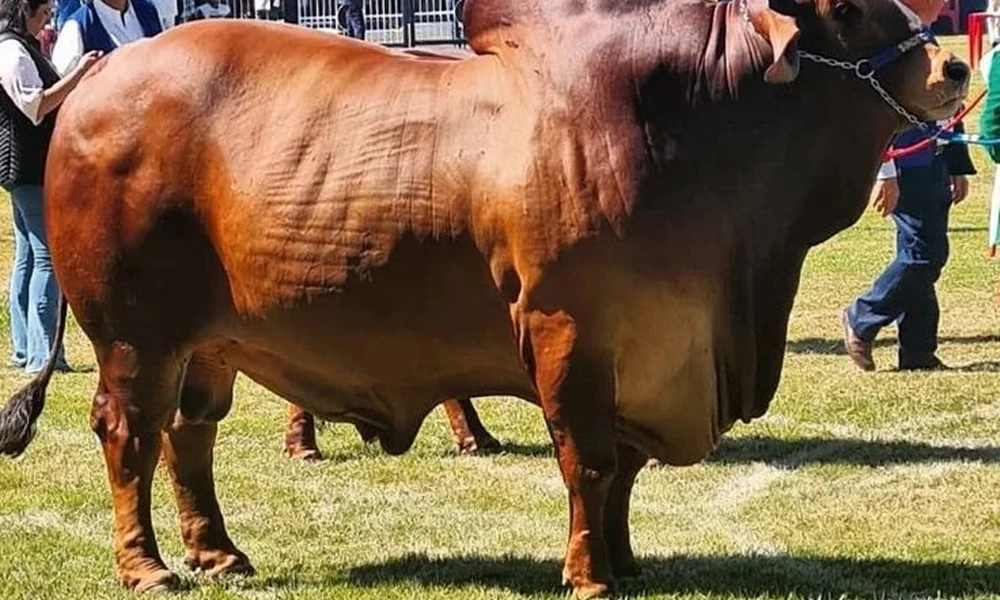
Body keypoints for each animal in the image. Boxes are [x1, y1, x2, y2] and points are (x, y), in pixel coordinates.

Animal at [0, 0, 968, 595]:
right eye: (847, 8)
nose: (956, 68)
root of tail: (100, 77)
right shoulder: (569, 330)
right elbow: (589, 462)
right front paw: (589, 574)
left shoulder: (643, 345)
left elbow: (622, 471)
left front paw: (626, 562)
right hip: (135, 333)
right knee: (127, 433)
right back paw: (147, 566)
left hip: (208, 345)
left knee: (187, 435)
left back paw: (218, 551)